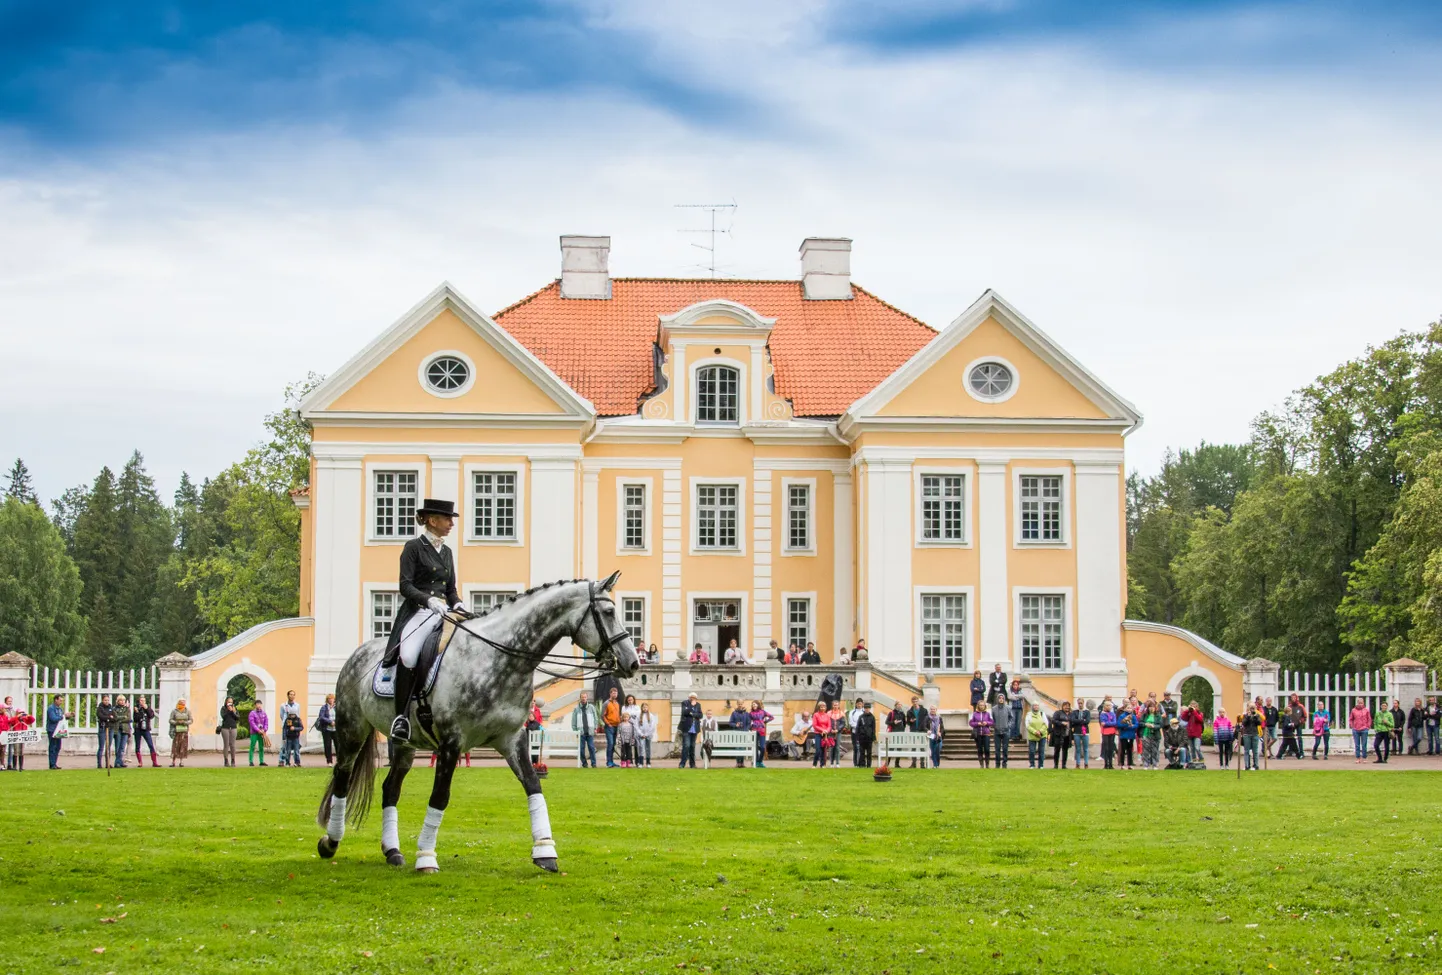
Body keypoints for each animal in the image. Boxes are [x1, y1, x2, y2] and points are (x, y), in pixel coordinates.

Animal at [318, 571, 640, 871]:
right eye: (608, 612)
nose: (634, 662)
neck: (497, 658)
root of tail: (359, 653)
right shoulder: (451, 743)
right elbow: (440, 796)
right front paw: (426, 857)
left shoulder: (512, 739)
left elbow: (534, 785)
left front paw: (545, 852)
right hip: (351, 731)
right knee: (343, 777)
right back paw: (331, 841)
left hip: (404, 744)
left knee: (390, 789)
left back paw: (392, 851)